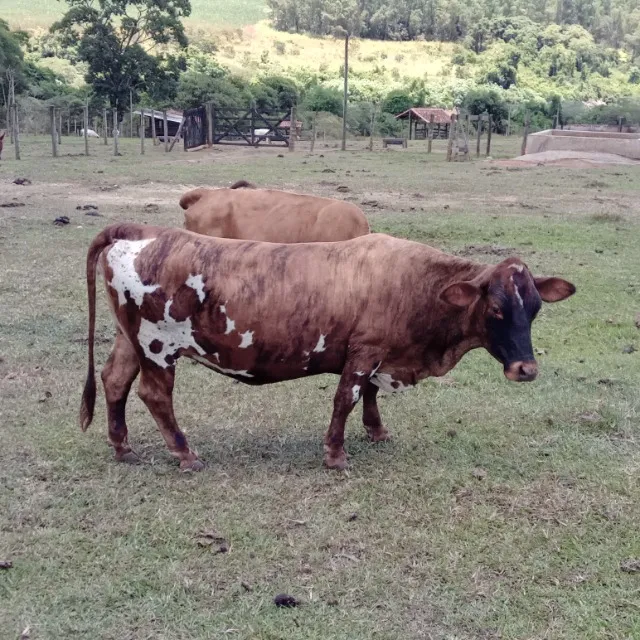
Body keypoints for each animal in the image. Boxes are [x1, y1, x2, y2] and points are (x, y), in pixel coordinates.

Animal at [80, 223, 575, 472]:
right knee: (154, 395)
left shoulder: (377, 354)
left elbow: (369, 395)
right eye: (495, 309)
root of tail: (140, 230)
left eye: (534, 308)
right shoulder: (364, 352)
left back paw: (122, 447)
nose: (526, 369)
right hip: (157, 346)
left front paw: (376, 430)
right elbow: (346, 398)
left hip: (130, 341)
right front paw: (335, 454)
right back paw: (185, 454)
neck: (416, 285)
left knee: (115, 381)